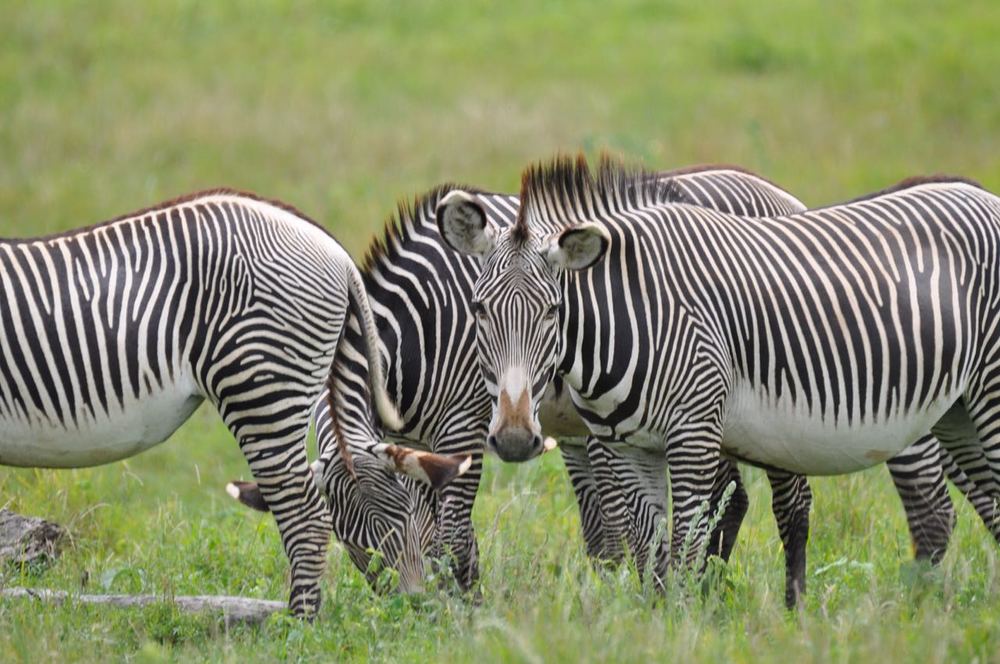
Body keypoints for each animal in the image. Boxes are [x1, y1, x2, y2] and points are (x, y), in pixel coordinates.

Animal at [233, 166, 992, 600]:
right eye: (347, 540)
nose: (398, 609)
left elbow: (456, 524)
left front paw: (466, 603)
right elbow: (605, 528)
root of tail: (781, 195)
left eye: (388, 520)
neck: (427, 329)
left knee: (819, 498)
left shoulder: (468, 424)